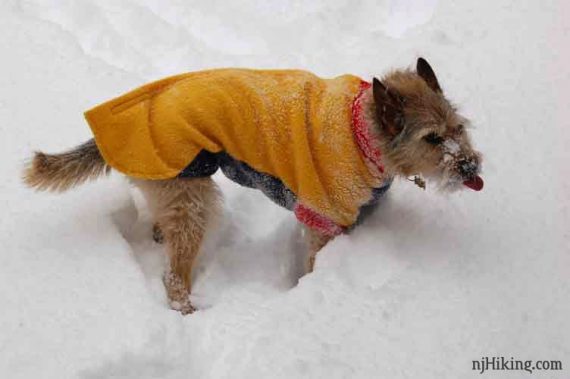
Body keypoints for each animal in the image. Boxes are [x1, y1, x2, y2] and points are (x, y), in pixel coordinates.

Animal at [24, 58, 482, 316]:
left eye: (458, 127)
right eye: (432, 139)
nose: (470, 166)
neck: (362, 129)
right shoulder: (323, 217)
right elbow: (316, 258)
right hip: (192, 197)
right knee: (173, 275)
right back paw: (186, 308)